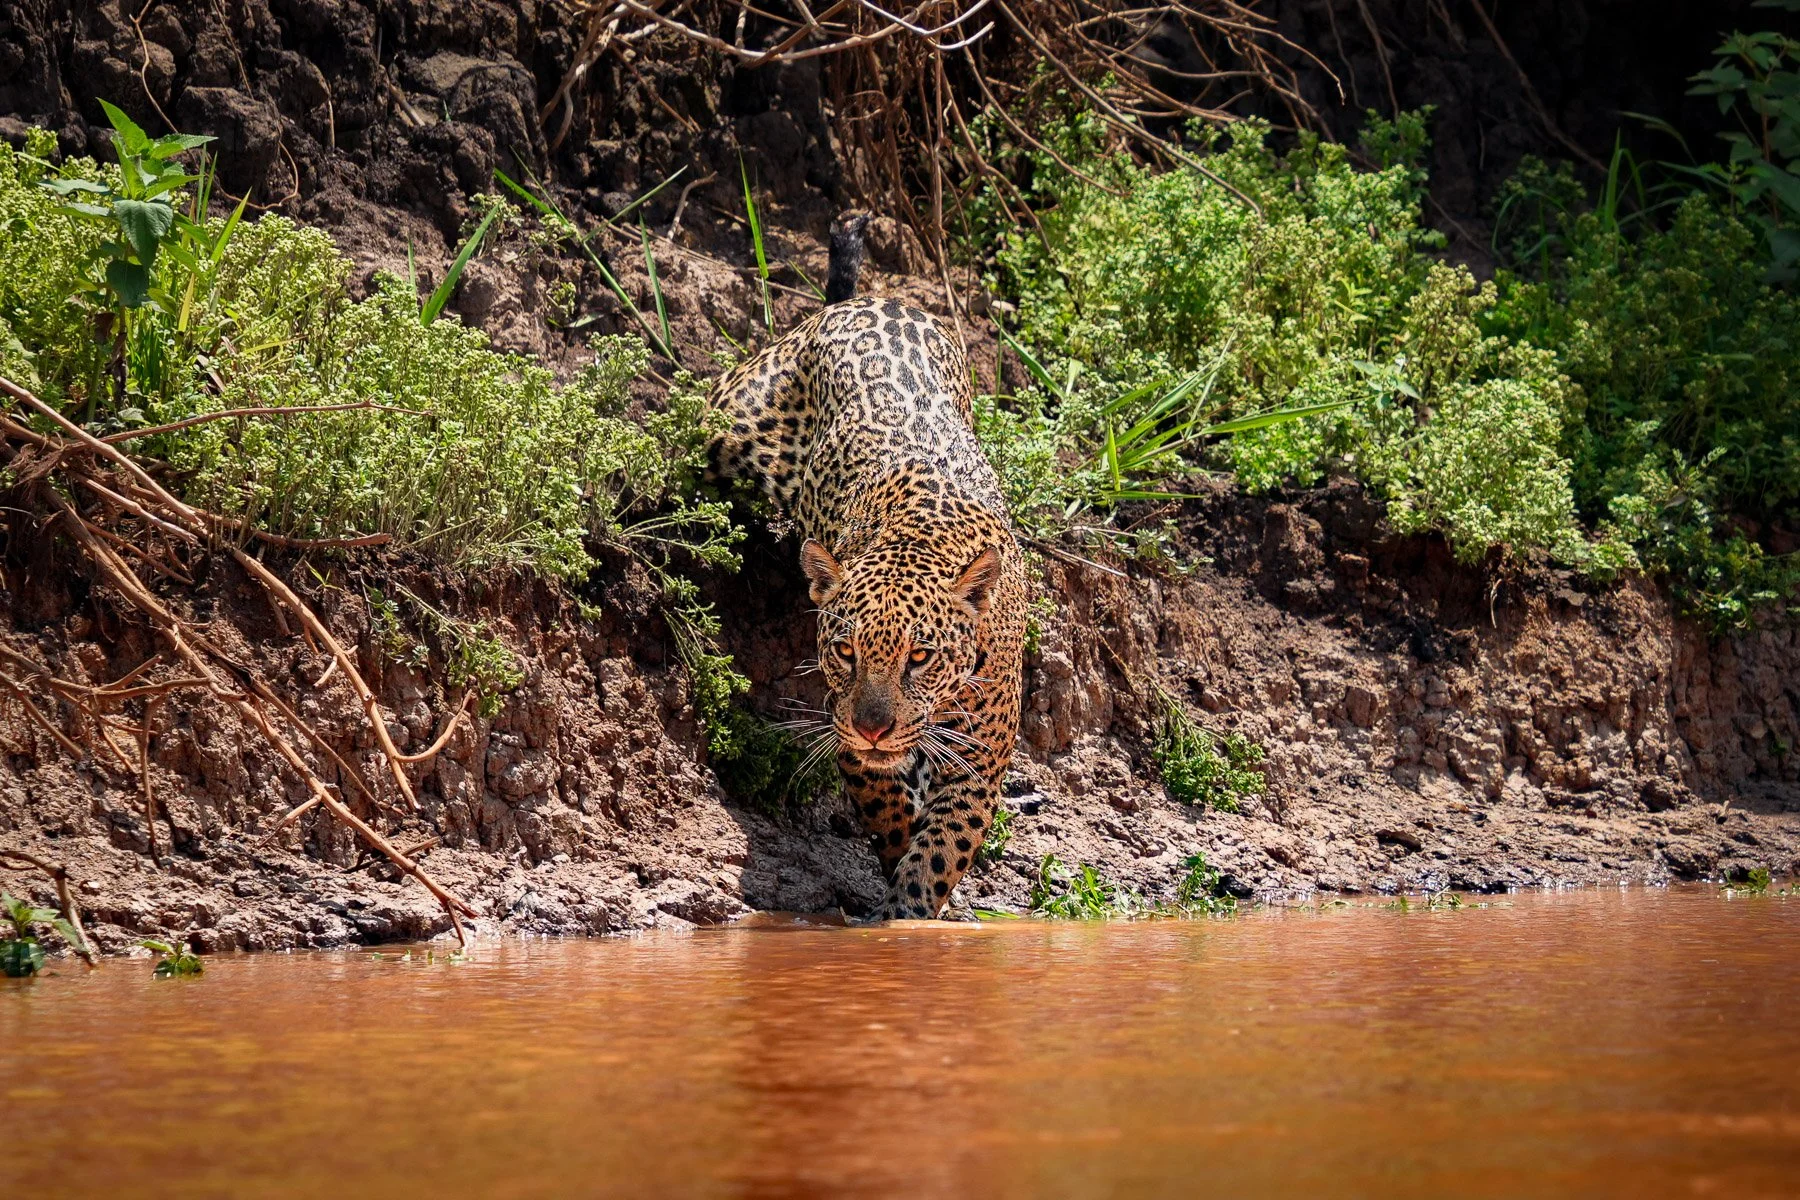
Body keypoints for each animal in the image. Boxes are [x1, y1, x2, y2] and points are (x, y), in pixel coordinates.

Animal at [708, 295, 1026, 920]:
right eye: (845, 651)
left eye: (921, 656)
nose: (872, 728)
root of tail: (874, 299)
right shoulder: (850, 737)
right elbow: (889, 814)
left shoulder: (980, 762)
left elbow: (941, 851)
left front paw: (910, 911)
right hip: (728, 424)